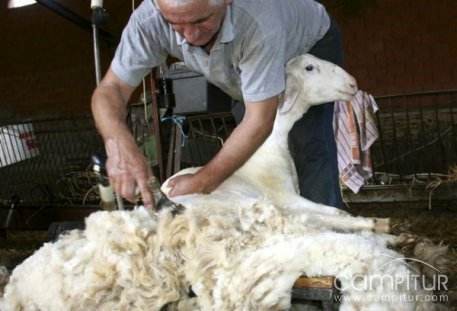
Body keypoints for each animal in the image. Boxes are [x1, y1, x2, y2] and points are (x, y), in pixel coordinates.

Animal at [0, 55, 442, 311]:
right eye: (310, 67)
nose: (352, 84)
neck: (269, 144)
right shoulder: (287, 201)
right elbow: (337, 213)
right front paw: (383, 226)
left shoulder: (293, 200)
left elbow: (337, 216)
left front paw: (388, 230)